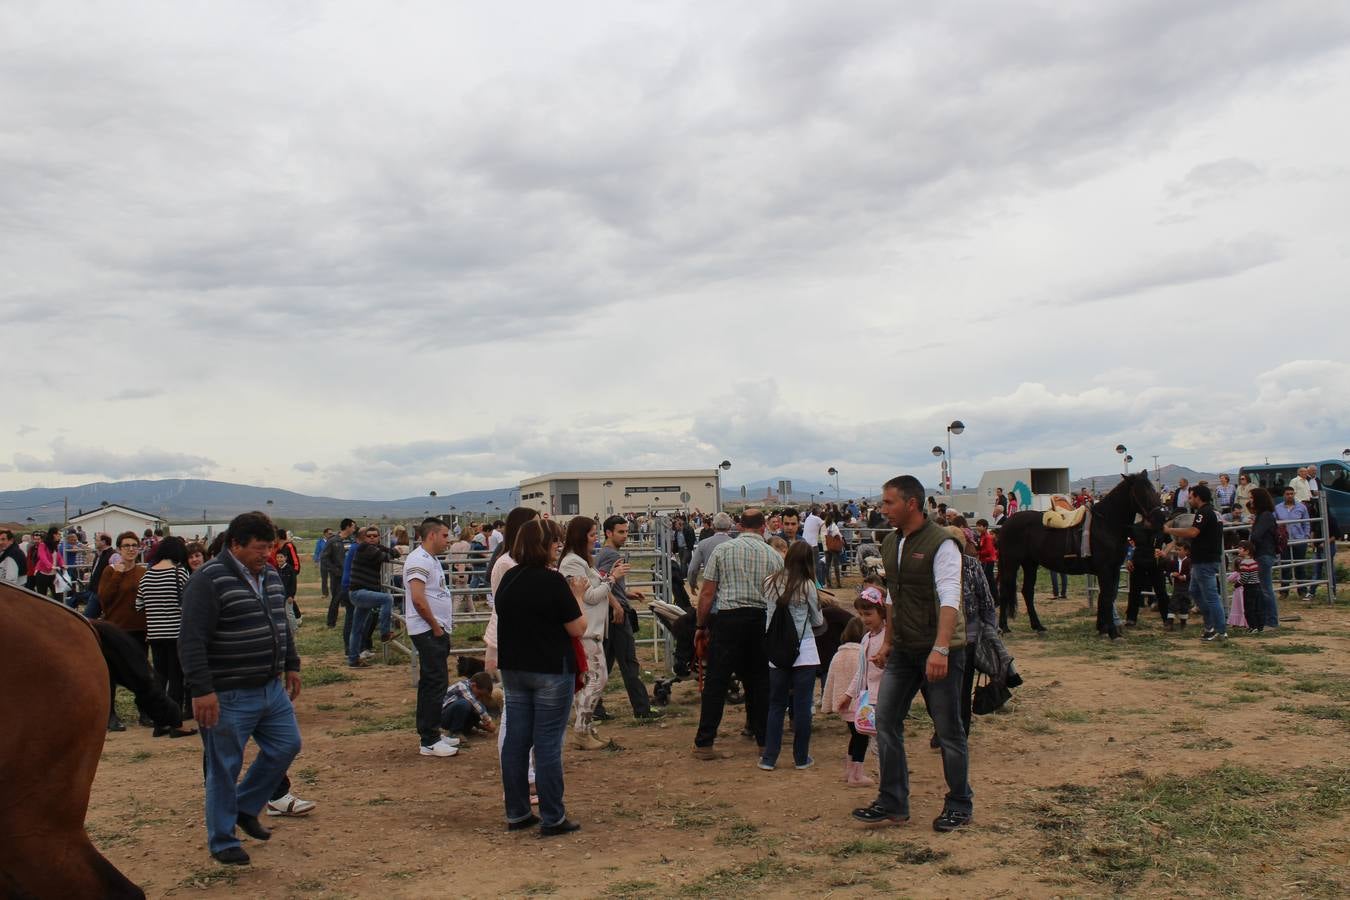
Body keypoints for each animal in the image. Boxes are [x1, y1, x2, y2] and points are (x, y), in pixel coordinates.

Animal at [993, 472, 1161, 639]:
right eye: (1141, 491)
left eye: (1153, 489)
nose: (1160, 517)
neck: (1105, 524)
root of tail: (1006, 525)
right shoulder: (1105, 569)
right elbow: (1107, 597)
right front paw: (1112, 632)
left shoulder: (1113, 569)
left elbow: (1107, 596)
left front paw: (1102, 627)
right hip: (1011, 563)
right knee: (1005, 591)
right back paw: (1003, 627)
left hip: (1030, 564)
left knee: (1027, 592)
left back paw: (1038, 626)